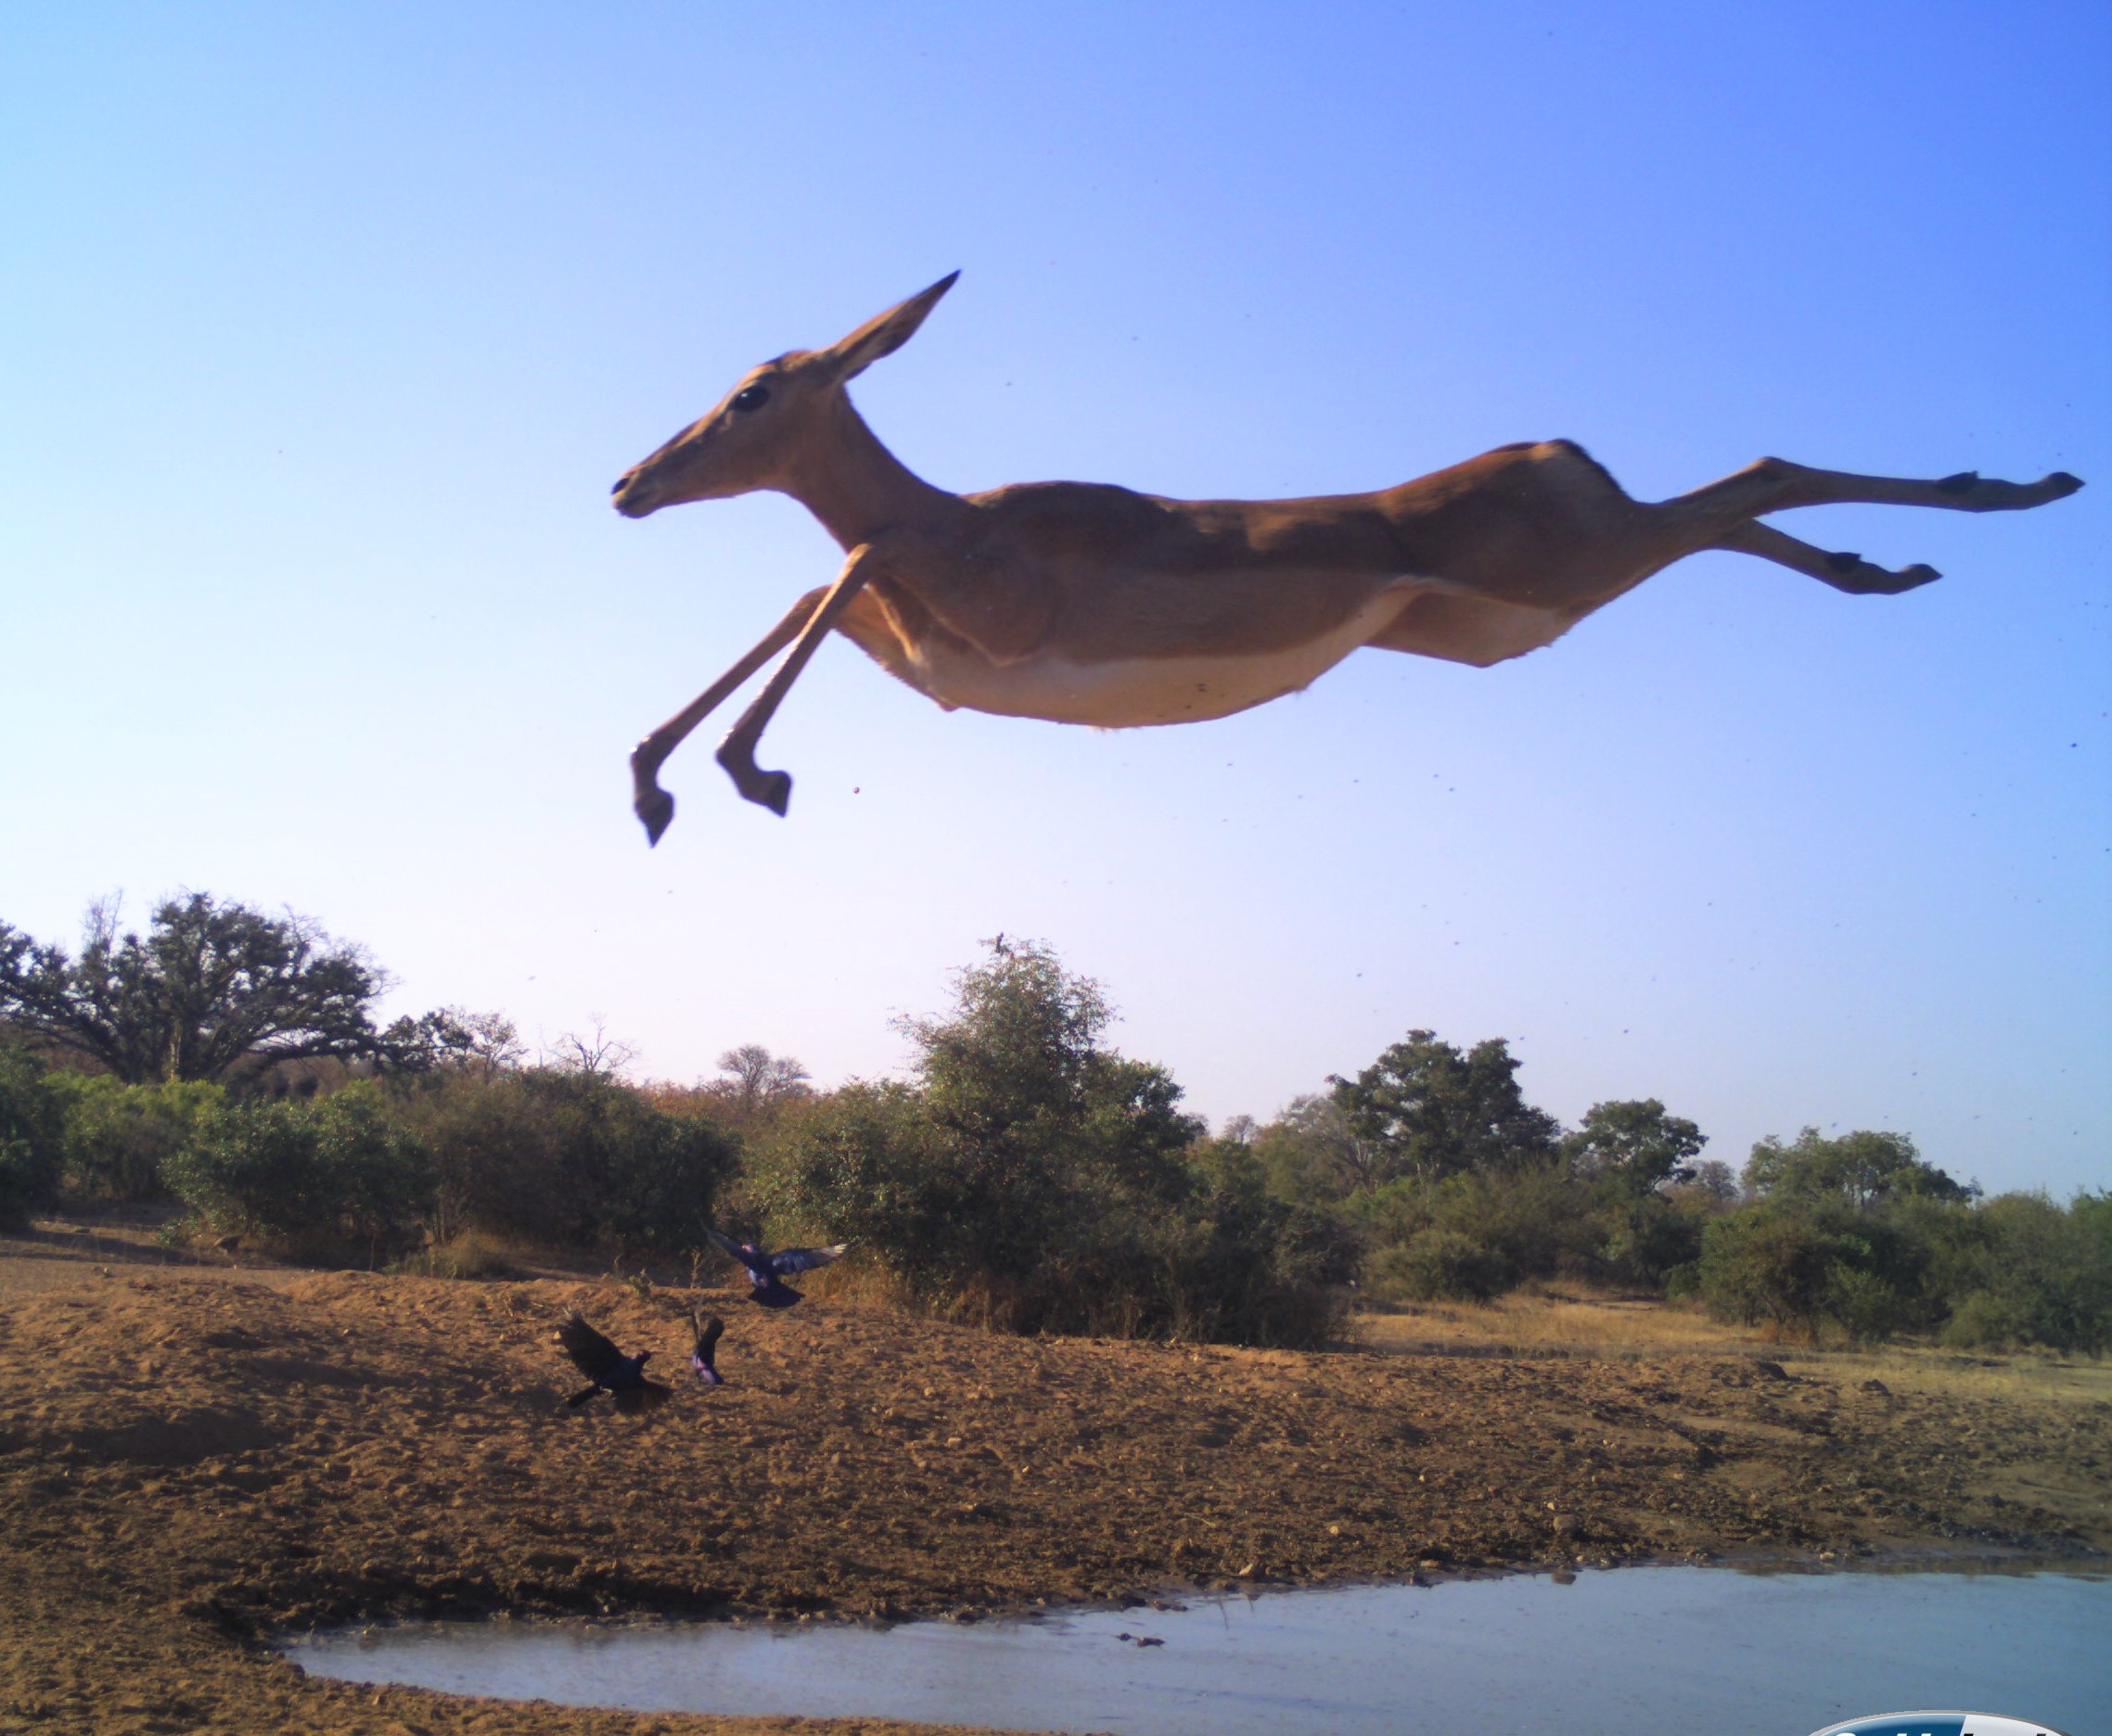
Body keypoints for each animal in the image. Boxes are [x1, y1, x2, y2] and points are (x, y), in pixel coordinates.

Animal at [611, 274, 2082, 840]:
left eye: (753, 395)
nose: (630, 483)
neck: (962, 516)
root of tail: (1553, 448)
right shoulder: (930, 649)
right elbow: (812, 586)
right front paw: (655, 783)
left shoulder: (1000, 621)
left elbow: (839, 565)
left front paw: (743, 772)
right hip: (1554, 590)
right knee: (1735, 506)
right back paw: (1896, 565)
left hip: (1576, 564)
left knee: (1756, 475)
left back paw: (2021, 493)